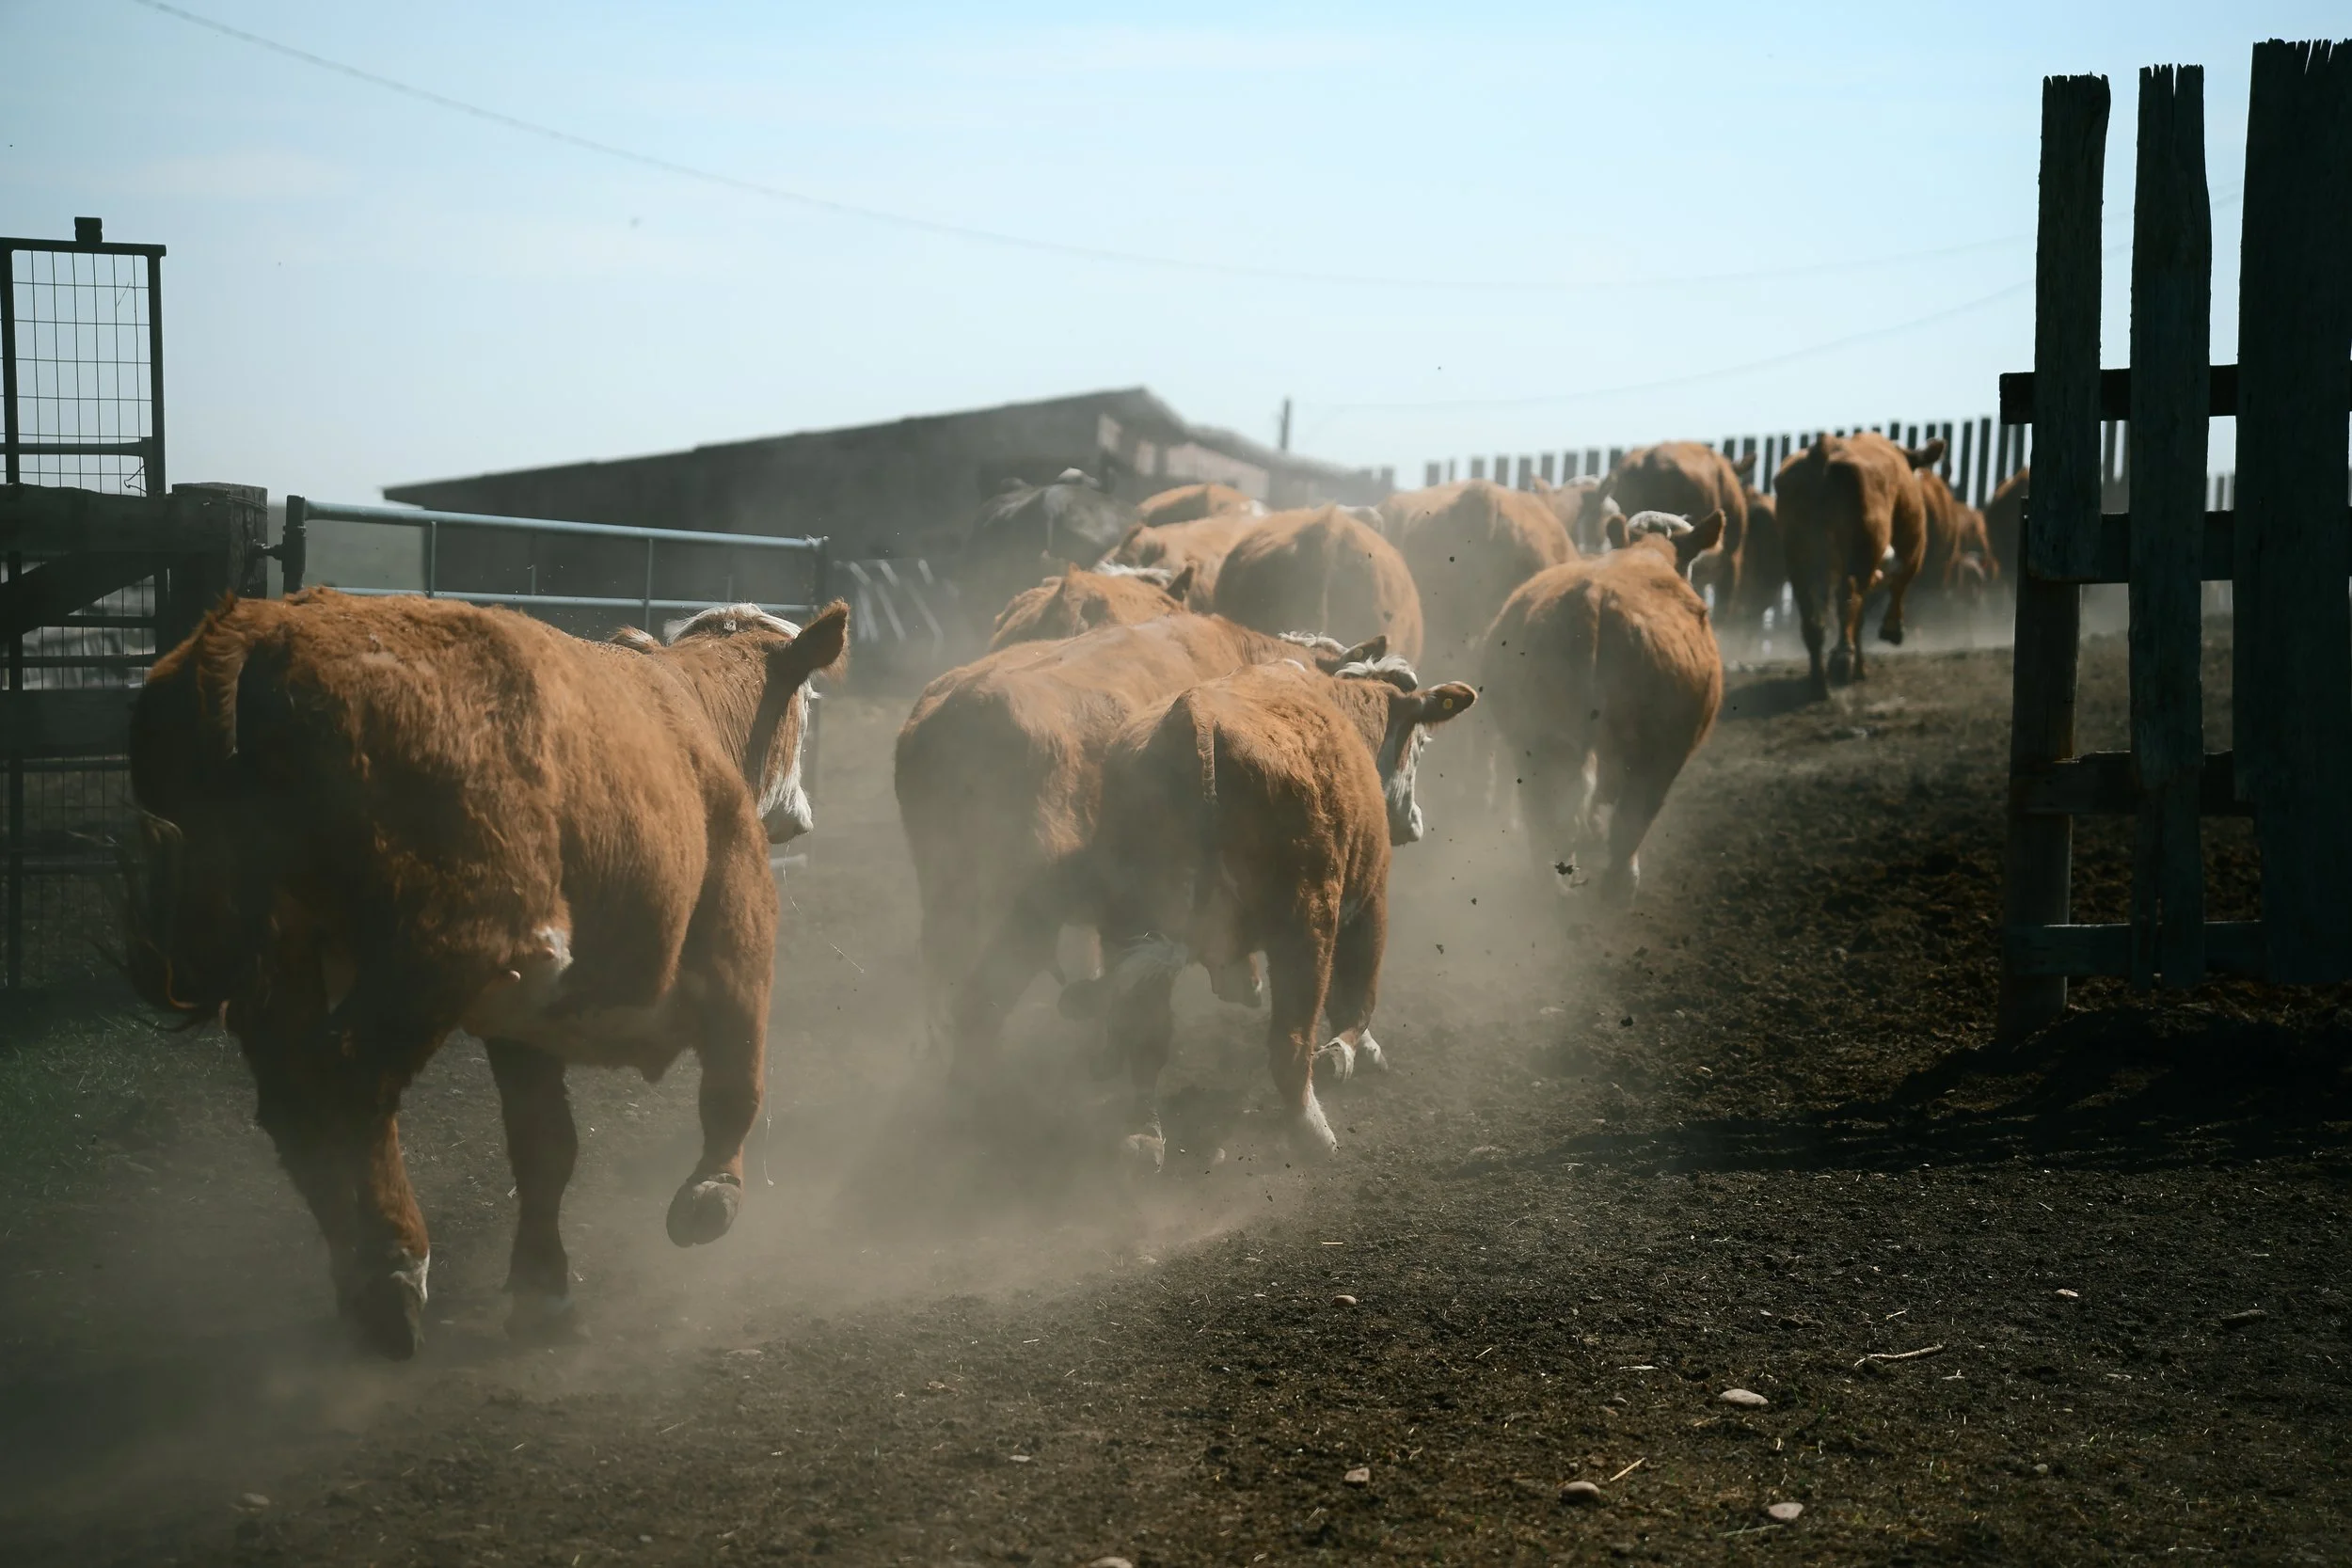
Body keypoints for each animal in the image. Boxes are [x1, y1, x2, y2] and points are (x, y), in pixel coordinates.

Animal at [122, 590, 850, 1358]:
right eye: (806, 701)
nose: (801, 814)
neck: (692, 711)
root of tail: (253, 632)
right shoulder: (739, 941)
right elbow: (735, 1086)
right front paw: (712, 1195)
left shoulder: (525, 1016)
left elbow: (545, 1146)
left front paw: (543, 1284)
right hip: (439, 948)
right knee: (350, 1076)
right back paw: (393, 1270)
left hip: (286, 957)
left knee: (294, 1098)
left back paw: (356, 1280)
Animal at [895, 613, 1387, 1072]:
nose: (1249, 988)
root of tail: (958, 710)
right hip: (1026, 909)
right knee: (982, 996)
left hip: (948, 889)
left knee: (944, 969)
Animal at [1066, 657, 1475, 1162]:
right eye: (1418, 744)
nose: (1414, 822)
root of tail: (1194, 719)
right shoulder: (1369, 897)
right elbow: (1355, 999)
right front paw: (1349, 1054)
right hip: (1306, 924)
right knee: (1291, 1043)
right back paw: (1312, 1130)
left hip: (1127, 917)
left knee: (1145, 1031)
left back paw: (1143, 1134)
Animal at [1481, 511, 1723, 904]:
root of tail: (1591, 599)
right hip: (1659, 751)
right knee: (1628, 818)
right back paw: (1618, 887)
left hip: (1535, 740)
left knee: (1549, 812)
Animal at [1773, 431, 1946, 696]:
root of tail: (1823, 449)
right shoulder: (1913, 546)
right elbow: (1899, 585)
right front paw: (1892, 629)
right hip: (1863, 550)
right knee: (1850, 599)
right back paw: (1842, 660)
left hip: (1799, 561)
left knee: (1815, 617)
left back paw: (1819, 681)